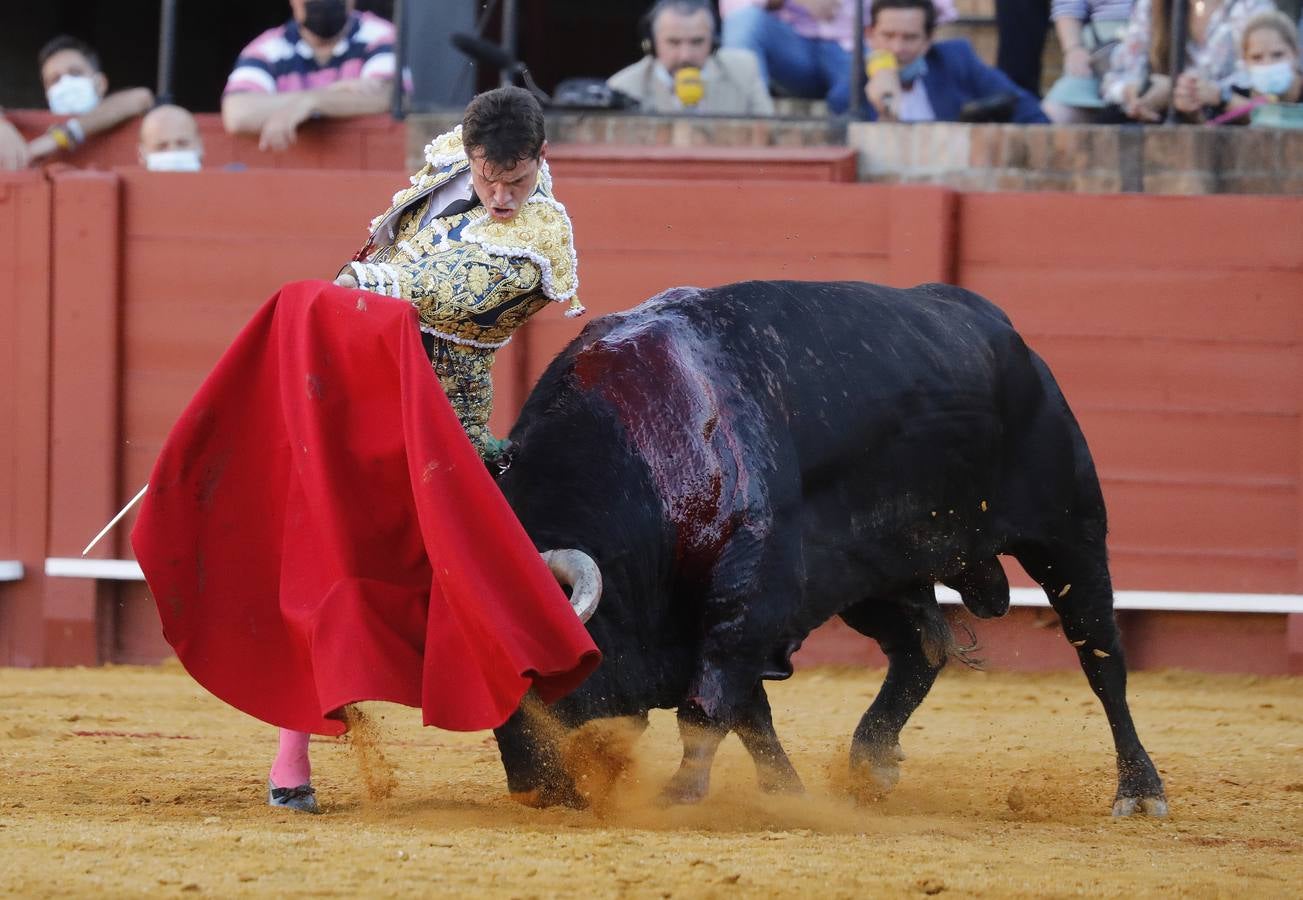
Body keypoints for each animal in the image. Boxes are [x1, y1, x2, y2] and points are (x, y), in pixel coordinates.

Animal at [492, 280, 1167, 817]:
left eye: (544, 678)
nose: (532, 791)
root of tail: (1000, 327)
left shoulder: (745, 600)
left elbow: (709, 707)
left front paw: (680, 797)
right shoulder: (734, 617)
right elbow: (751, 714)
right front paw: (786, 792)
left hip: (1069, 533)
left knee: (1100, 655)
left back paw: (1139, 790)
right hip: (874, 576)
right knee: (921, 648)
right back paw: (870, 762)